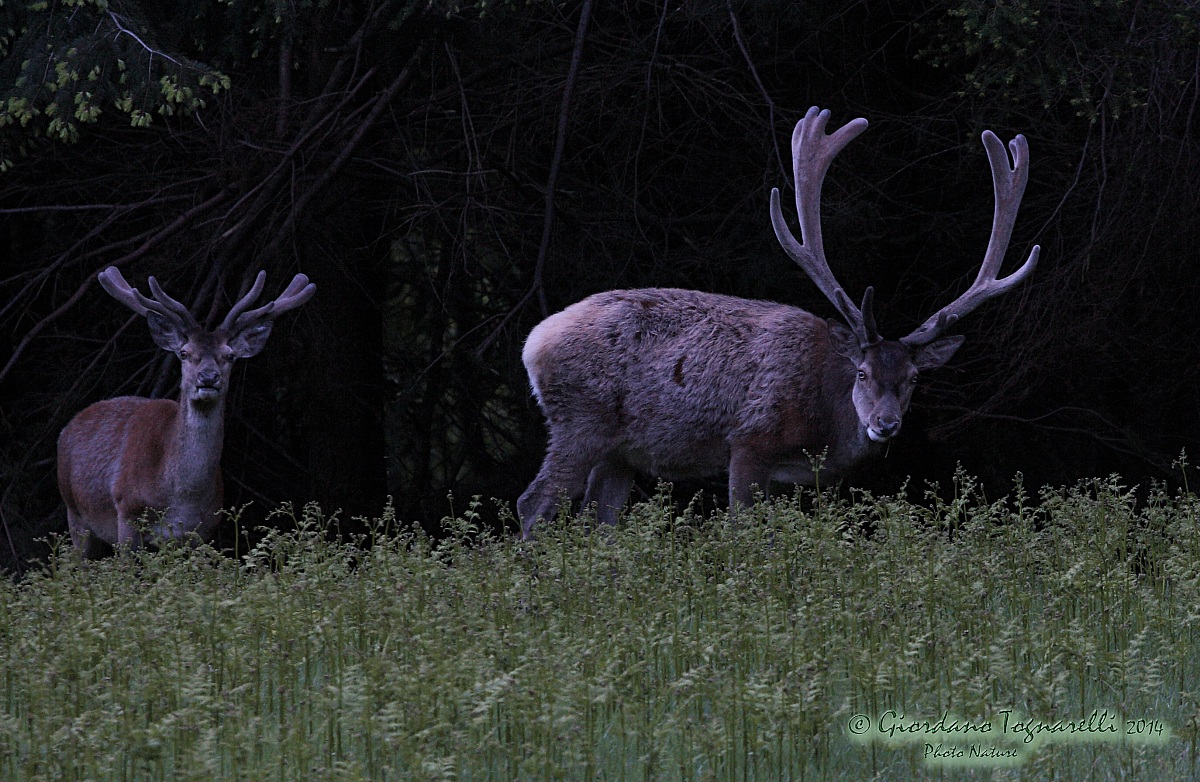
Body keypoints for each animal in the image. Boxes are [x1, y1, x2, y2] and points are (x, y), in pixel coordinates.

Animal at [57, 267, 316, 558]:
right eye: (183, 353)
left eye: (230, 355)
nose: (208, 377)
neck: (181, 498)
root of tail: (69, 426)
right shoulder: (127, 511)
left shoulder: (203, 530)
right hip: (75, 512)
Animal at [516, 107, 1039, 538]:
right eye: (862, 372)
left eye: (914, 378)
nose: (886, 424)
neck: (824, 421)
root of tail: (533, 343)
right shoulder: (750, 439)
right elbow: (745, 533)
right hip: (580, 418)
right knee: (533, 503)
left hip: (619, 450)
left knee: (598, 520)